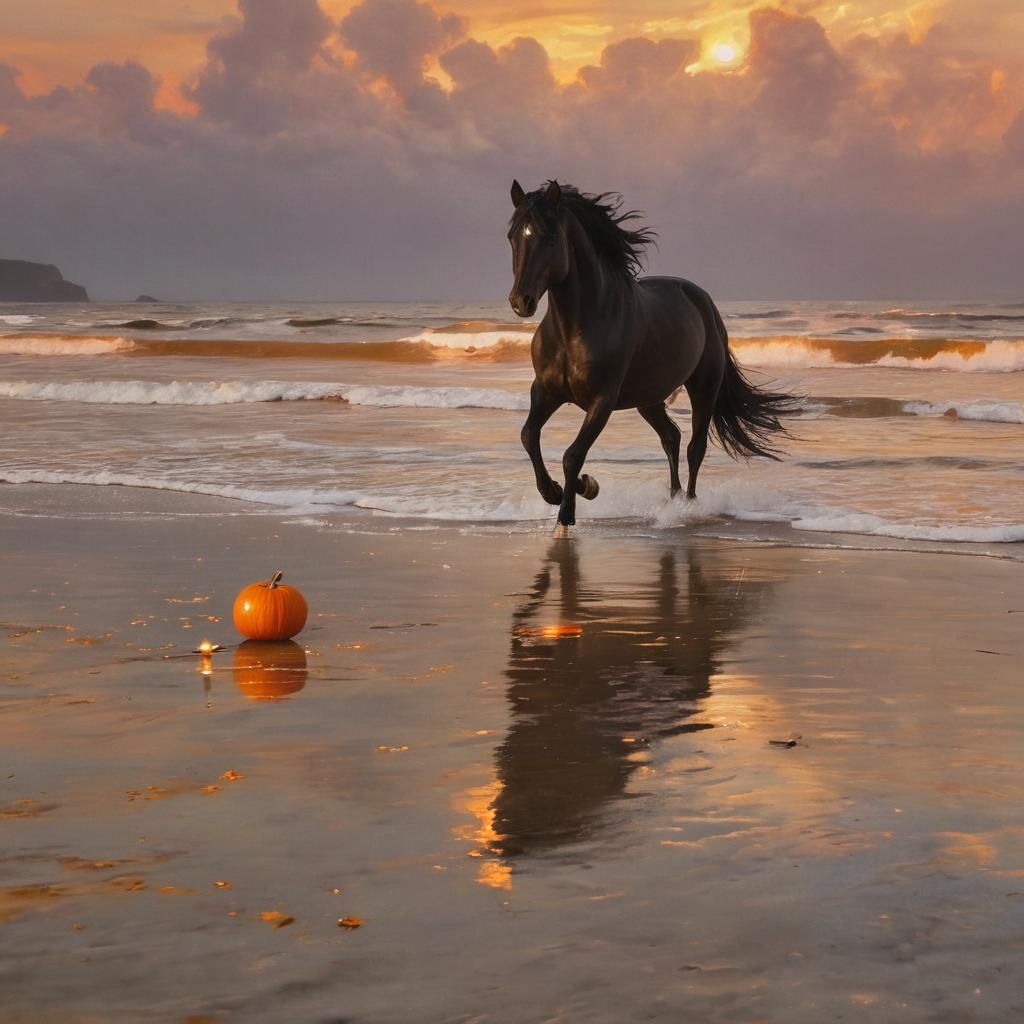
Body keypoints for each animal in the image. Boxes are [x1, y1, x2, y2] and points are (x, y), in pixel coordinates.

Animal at [507, 179, 795, 535]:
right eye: (512, 236)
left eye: (550, 237)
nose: (521, 301)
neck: (575, 328)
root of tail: (705, 302)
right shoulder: (545, 392)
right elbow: (529, 436)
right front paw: (559, 491)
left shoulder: (602, 401)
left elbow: (573, 455)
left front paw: (569, 510)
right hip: (649, 398)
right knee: (671, 438)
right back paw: (671, 500)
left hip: (703, 388)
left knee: (694, 448)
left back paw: (687, 507)